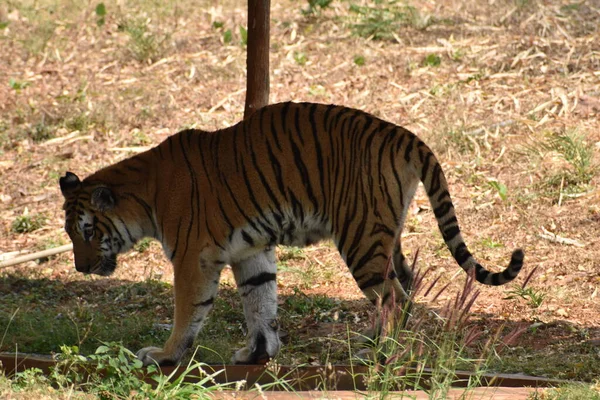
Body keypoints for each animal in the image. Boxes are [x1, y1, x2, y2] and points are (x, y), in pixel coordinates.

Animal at [58, 101, 524, 368]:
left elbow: (189, 311)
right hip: (386, 235)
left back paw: (380, 352)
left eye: (88, 231)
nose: (80, 268)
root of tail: (403, 134)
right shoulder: (250, 251)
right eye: (70, 232)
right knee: (405, 286)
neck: (144, 198)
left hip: (360, 237)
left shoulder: (194, 259)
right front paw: (258, 353)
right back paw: (378, 342)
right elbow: (260, 303)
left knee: (394, 296)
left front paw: (164, 356)